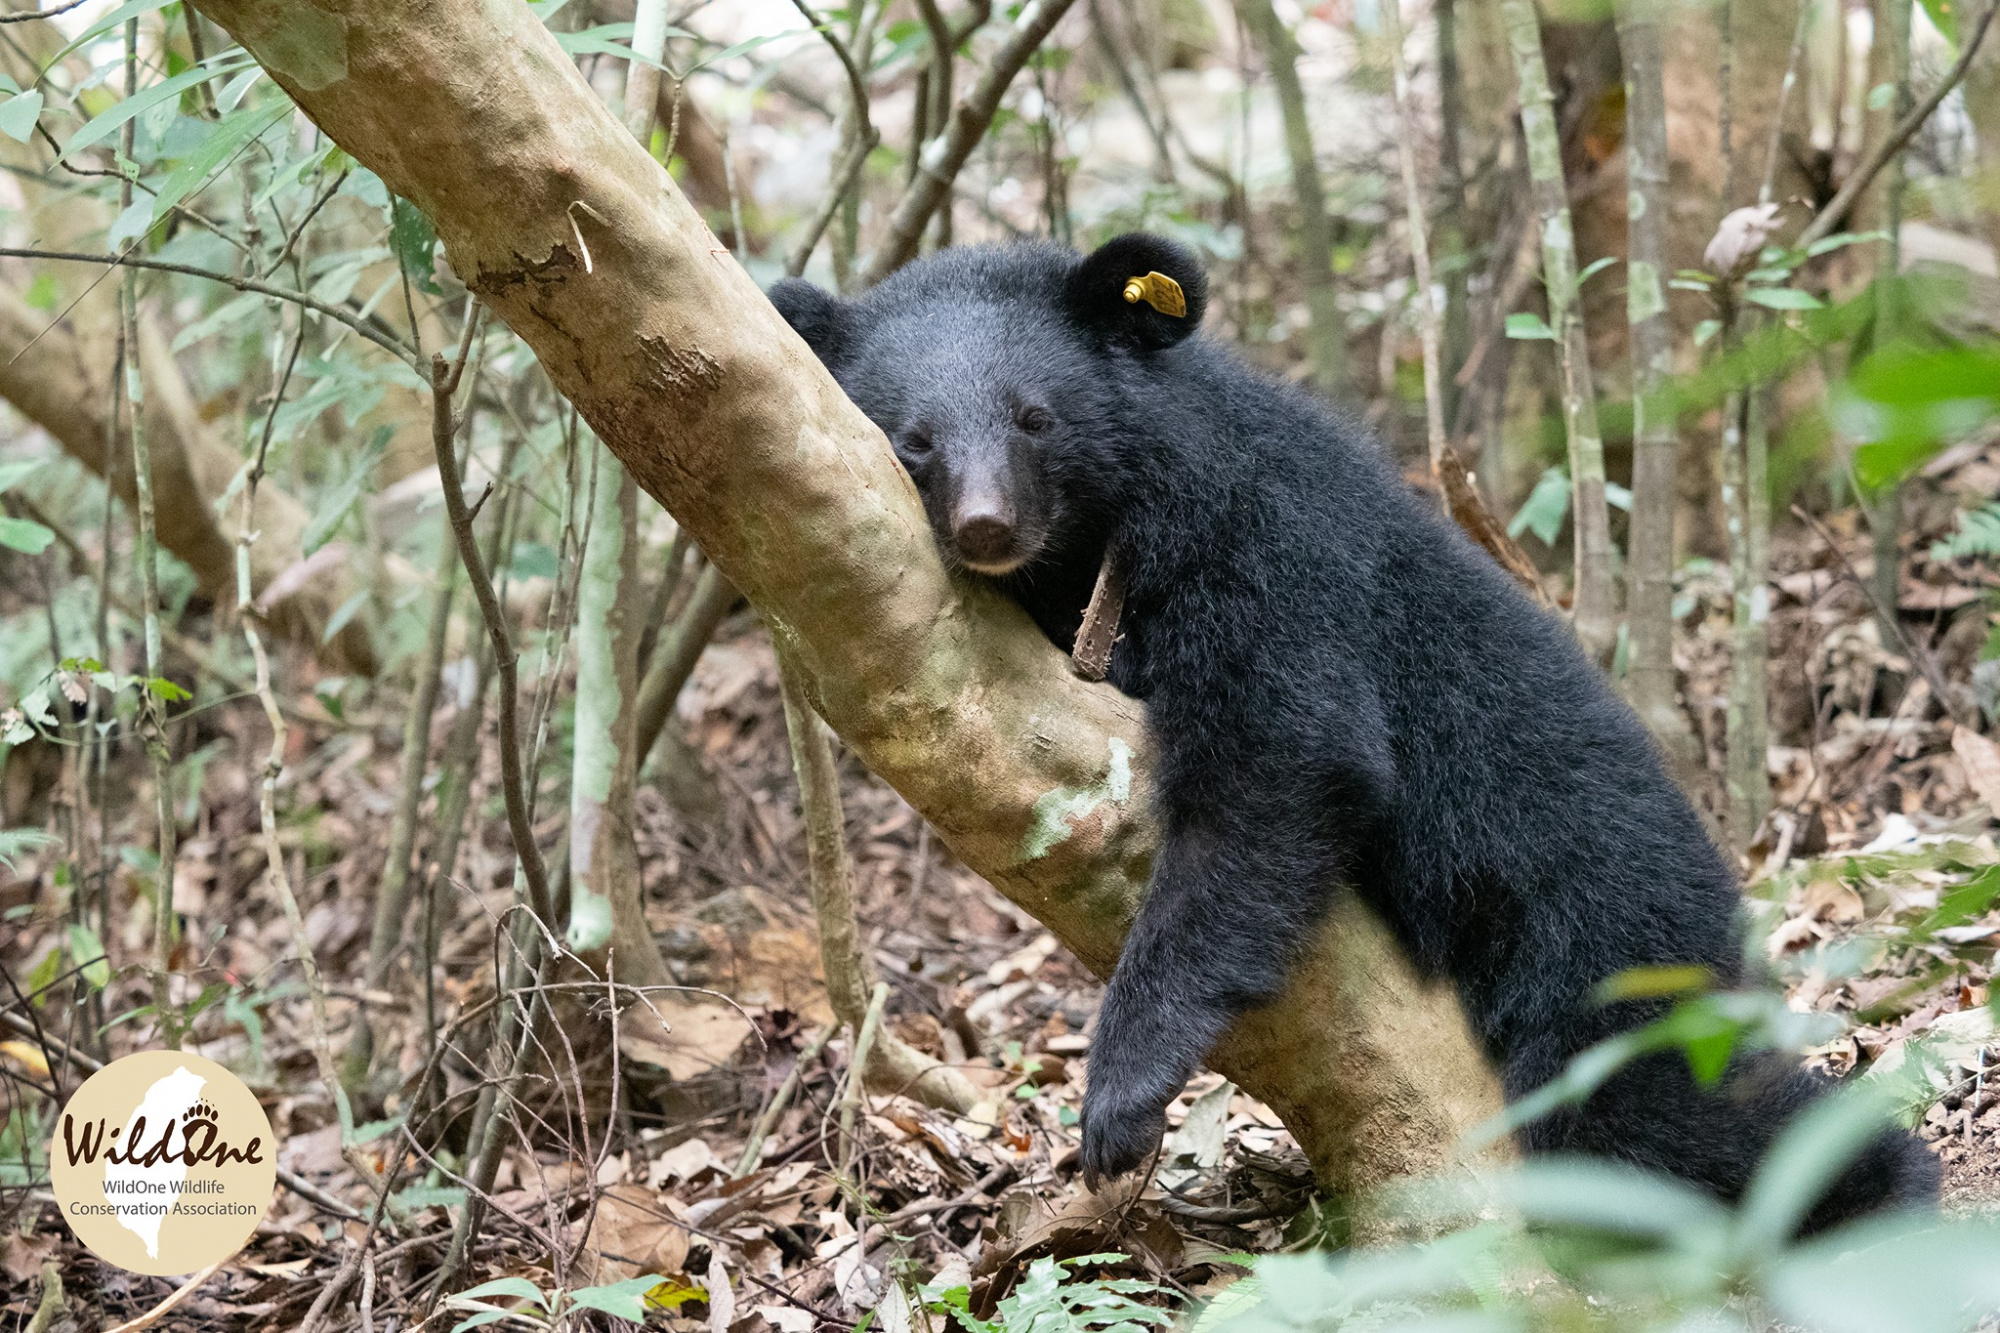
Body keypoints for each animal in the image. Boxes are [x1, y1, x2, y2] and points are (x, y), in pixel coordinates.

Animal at [772, 231, 1944, 1224]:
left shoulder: (1264, 549)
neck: (1097, 540)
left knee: (1661, 1115)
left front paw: (1119, 1095)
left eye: (1033, 417)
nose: (987, 527)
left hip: (1599, 937)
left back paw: (1883, 1187)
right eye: (914, 440)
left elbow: (1279, 759)